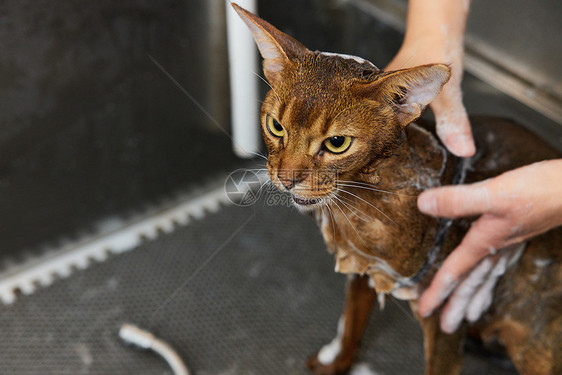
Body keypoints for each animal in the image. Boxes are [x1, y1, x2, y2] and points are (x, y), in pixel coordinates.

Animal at [230, 3, 556, 375]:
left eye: (337, 143)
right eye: (275, 126)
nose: (286, 179)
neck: (363, 203)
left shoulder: (444, 313)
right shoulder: (362, 265)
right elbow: (351, 320)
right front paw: (336, 362)